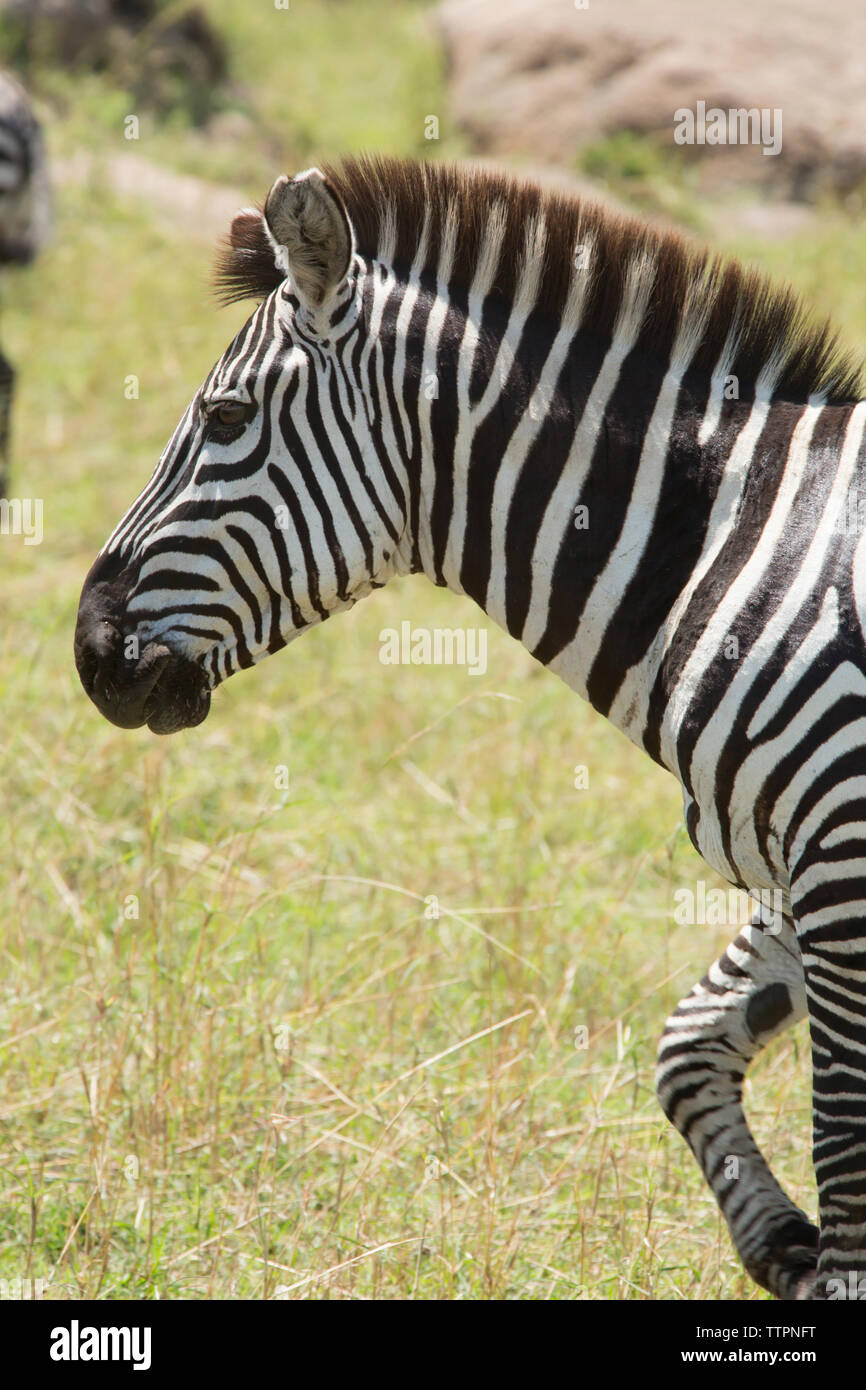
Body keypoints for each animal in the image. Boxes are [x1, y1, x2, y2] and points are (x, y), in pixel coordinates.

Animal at [74, 157, 866, 1295]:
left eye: (223, 418)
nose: (90, 651)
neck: (734, 544)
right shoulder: (799, 868)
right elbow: (686, 1046)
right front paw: (779, 1243)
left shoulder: (840, 855)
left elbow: (842, 1149)